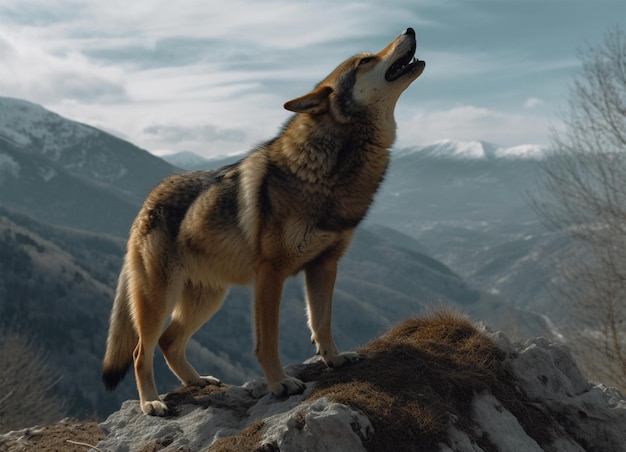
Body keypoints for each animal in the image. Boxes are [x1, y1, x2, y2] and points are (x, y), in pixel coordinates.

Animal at [102, 27, 424, 416]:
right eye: (364, 60)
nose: (409, 29)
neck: (330, 167)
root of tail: (146, 203)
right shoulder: (270, 273)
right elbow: (268, 339)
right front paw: (279, 383)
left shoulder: (325, 265)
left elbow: (322, 322)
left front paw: (334, 360)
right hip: (159, 298)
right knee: (140, 351)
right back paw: (151, 402)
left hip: (208, 299)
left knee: (169, 341)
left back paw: (198, 382)